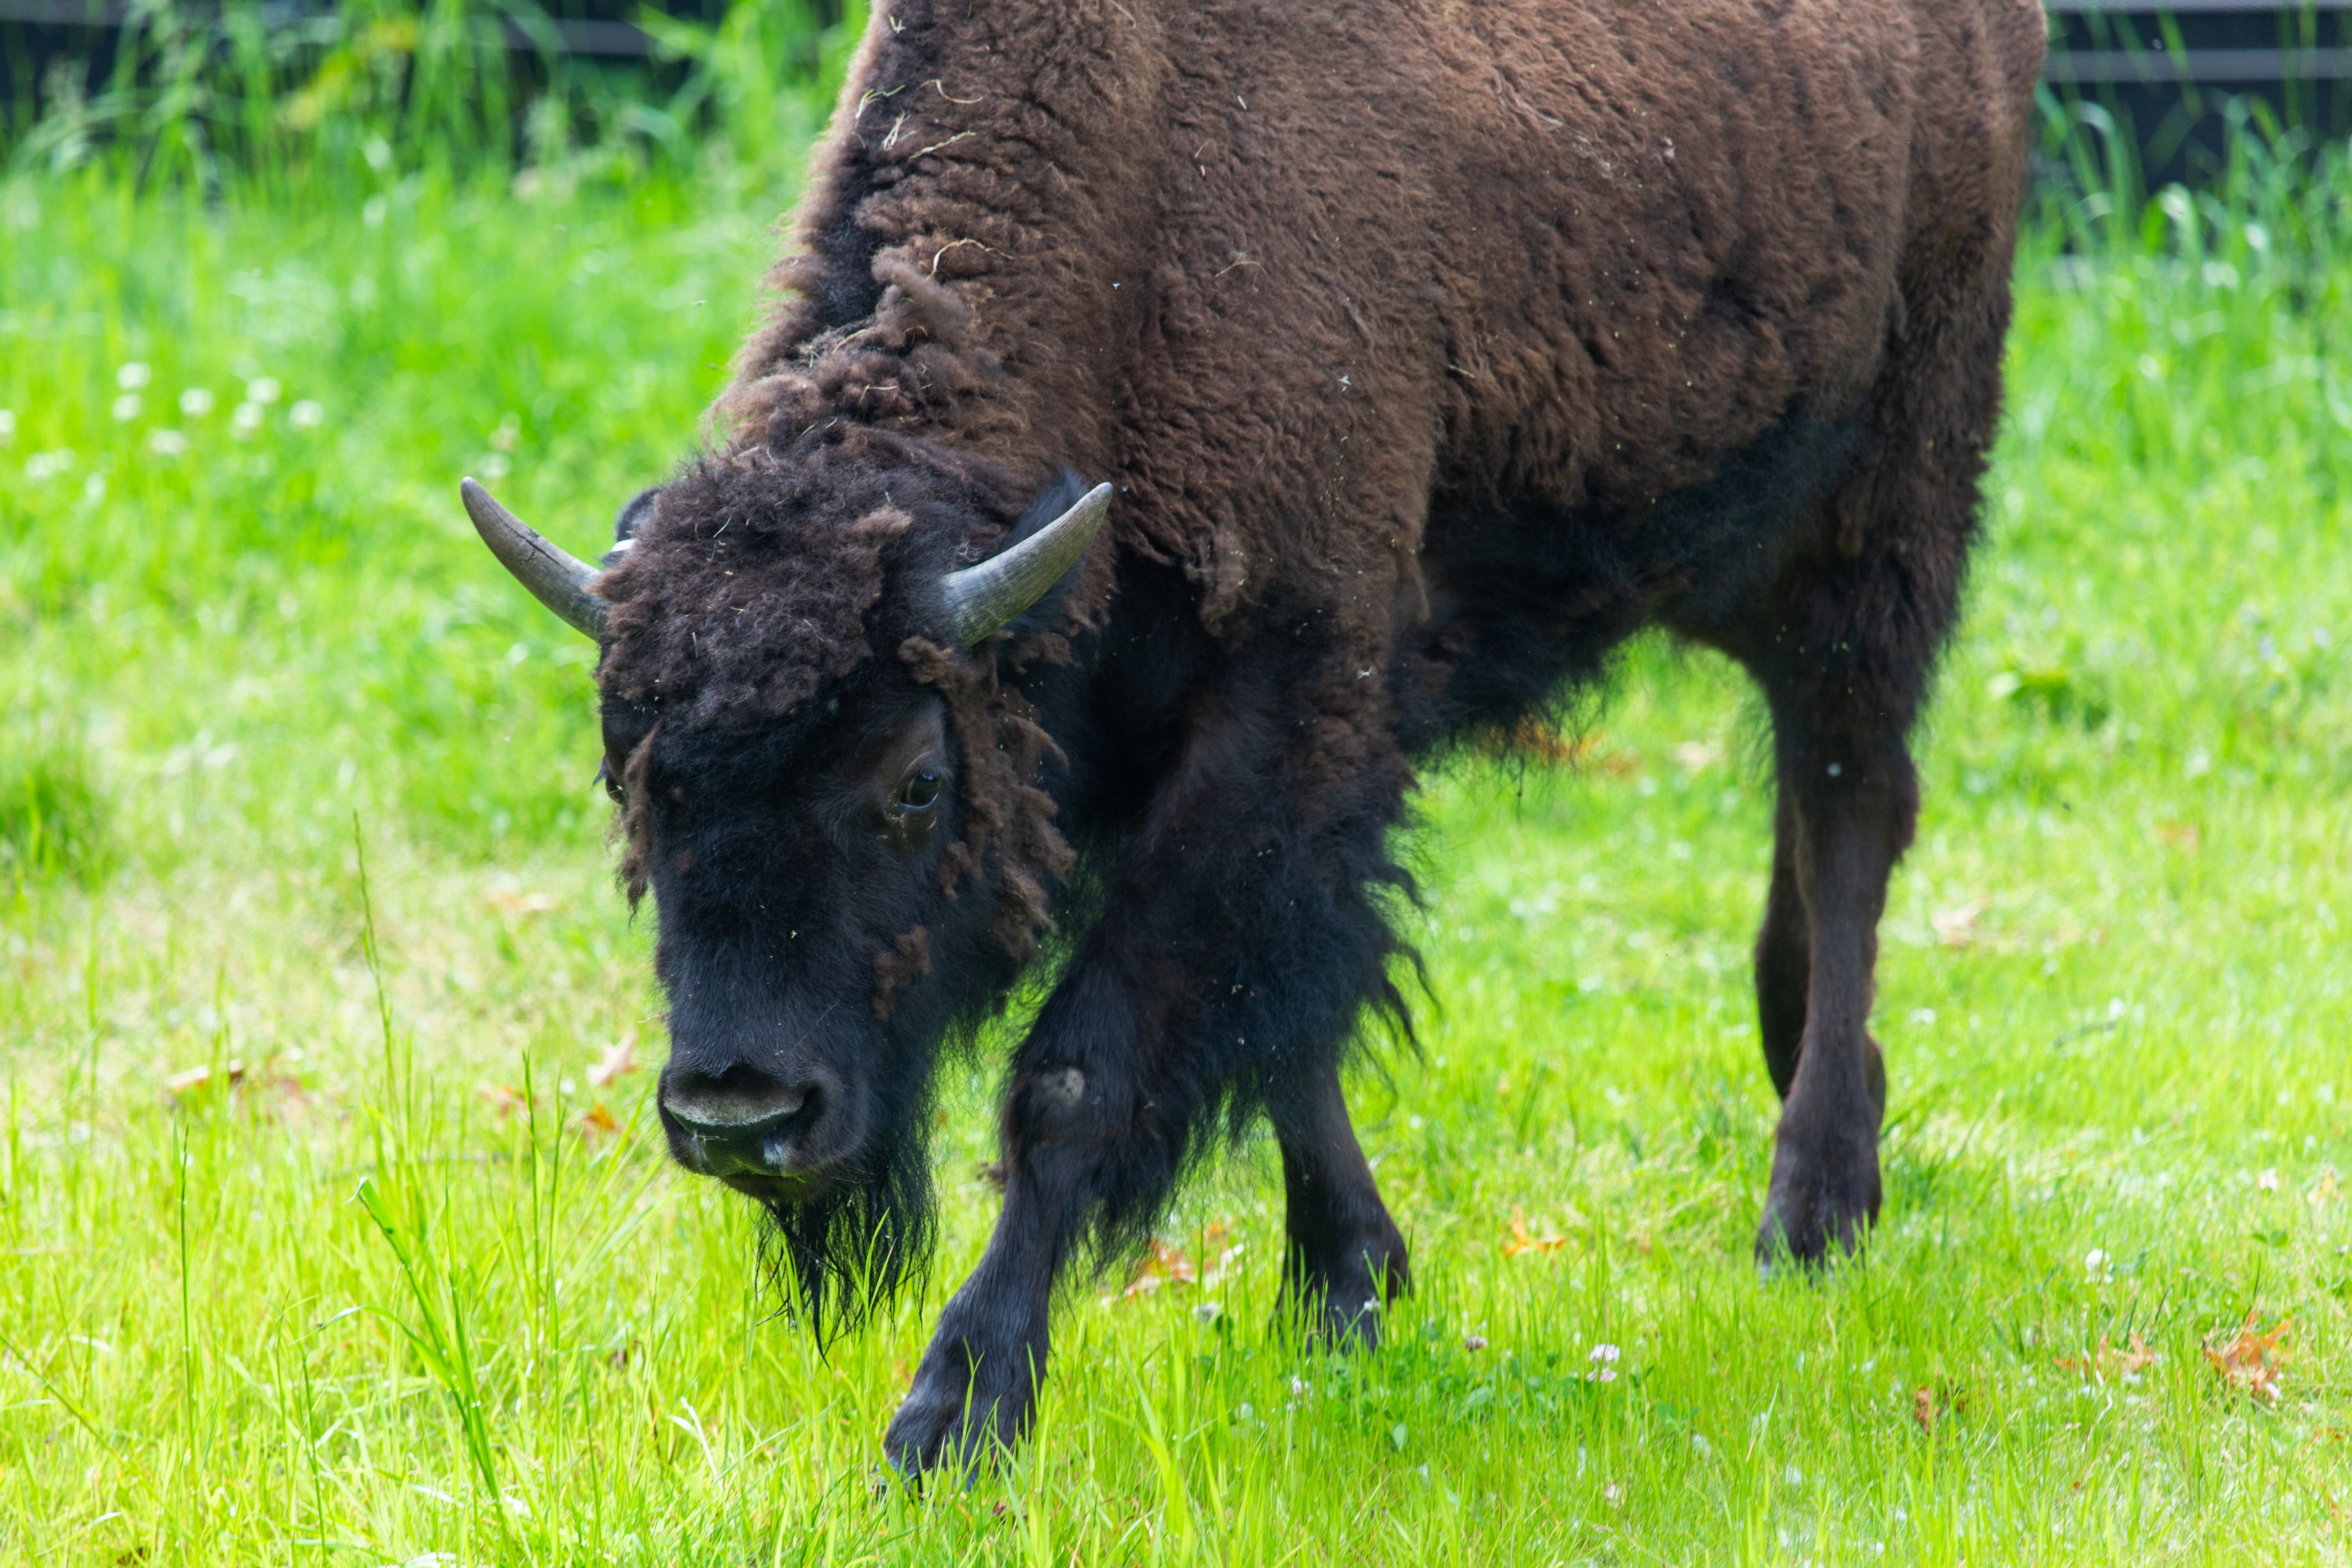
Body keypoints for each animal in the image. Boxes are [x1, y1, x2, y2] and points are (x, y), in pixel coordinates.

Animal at [459, 0, 2041, 1476]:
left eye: (913, 780)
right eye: (632, 779)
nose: (740, 1116)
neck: (1141, 231)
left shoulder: (1278, 722)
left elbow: (1084, 1073)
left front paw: (952, 1417)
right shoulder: (1184, 774)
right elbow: (1282, 1023)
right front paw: (1348, 1286)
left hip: (1890, 509)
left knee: (1849, 804)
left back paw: (1814, 1204)